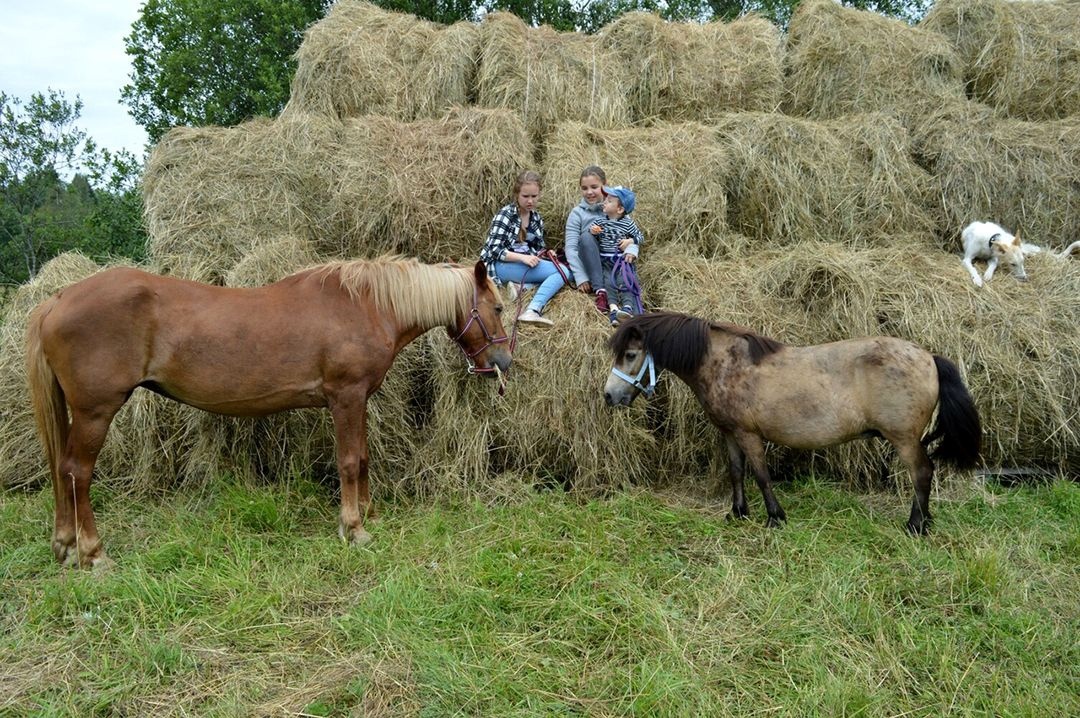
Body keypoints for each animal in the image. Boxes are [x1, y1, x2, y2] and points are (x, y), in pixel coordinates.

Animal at [24, 258, 509, 565]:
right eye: (499, 306)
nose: (503, 362)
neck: (365, 305)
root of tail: (58, 298)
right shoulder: (346, 397)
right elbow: (350, 462)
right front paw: (354, 528)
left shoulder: (359, 401)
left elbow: (365, 459)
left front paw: (370, 514)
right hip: (95, 412)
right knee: (77, 473)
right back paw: (93, 552)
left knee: (62, 470)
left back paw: (64, 544)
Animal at [604, 313, 984, 531]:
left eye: (631, 354)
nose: (609, 396)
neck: (726, 364)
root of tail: (929, 357)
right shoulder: (729, 433)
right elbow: (736, 472)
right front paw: (738, 513)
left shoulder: (749, 434)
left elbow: (760, 474)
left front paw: (775, 517)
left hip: (903, 438)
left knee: (921, 473)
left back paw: (916, 524)